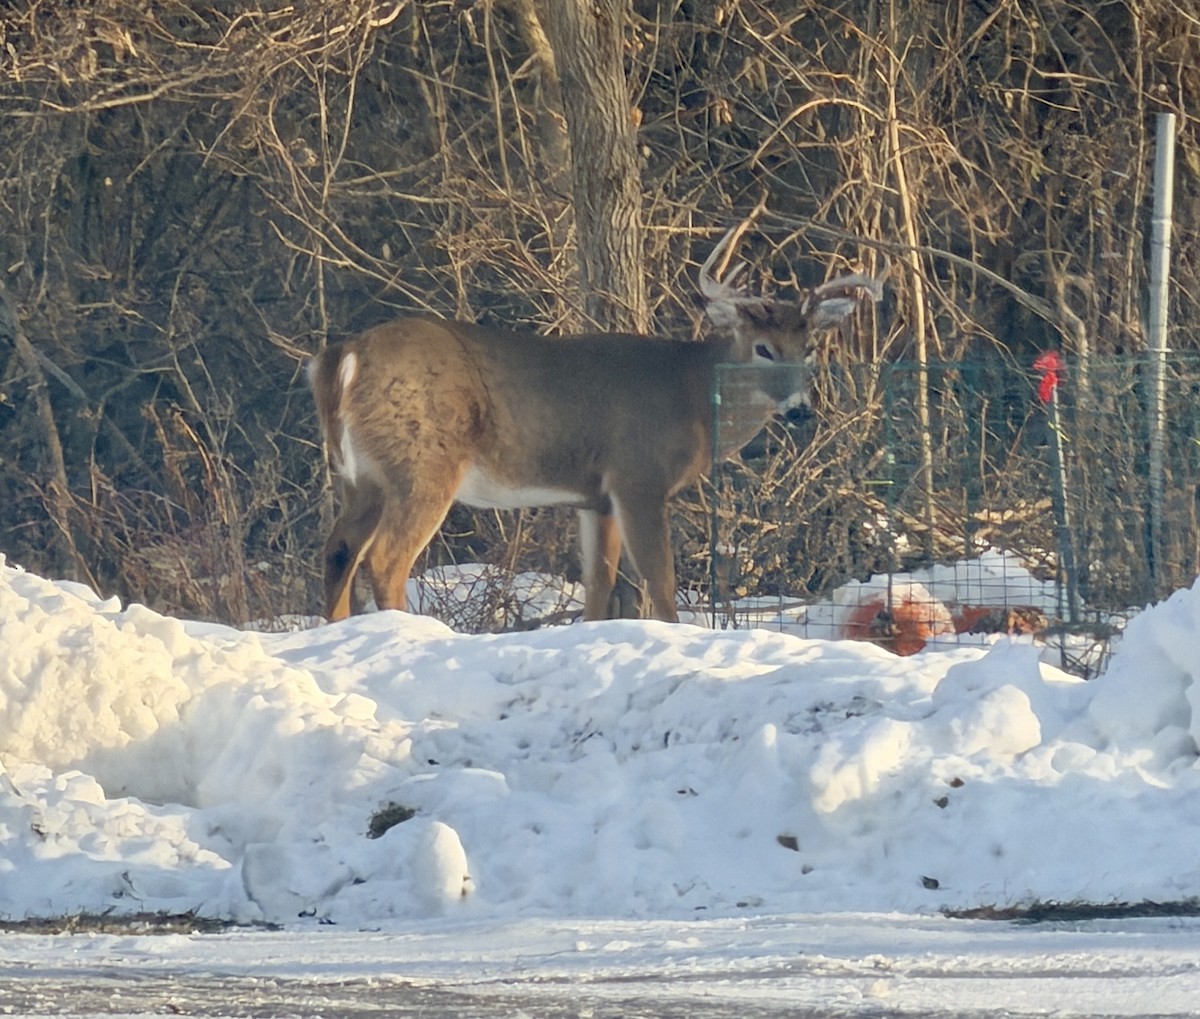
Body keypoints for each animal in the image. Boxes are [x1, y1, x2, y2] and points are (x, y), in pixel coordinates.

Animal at [309, 223, 882, 624]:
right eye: (763, 348)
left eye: (809, 348)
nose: (801, 408)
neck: (692, 394)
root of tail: (343, 356)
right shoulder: (637, 476)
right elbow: (660, 581)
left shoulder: (594, 496)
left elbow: (599, 586)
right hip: (422, 464)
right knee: (385, 559)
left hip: (359, 475)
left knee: (338, 550)